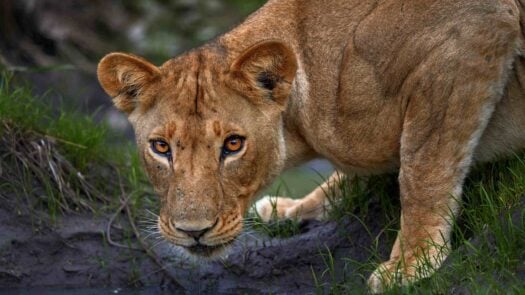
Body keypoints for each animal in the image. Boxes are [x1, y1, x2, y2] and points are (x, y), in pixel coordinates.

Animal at [96, 0, 524, 292]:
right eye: (161, 147)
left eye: (233, 145)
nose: (193, 231)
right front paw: (292, 208)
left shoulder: (470, 34)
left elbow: (423, 168)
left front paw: (412, 263)